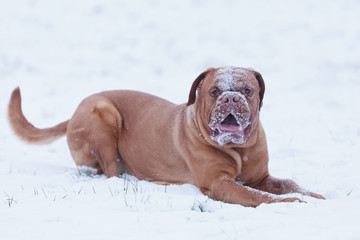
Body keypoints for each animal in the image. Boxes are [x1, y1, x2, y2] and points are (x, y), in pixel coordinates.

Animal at [7, 67, 324, 206]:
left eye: (246, 89)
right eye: (214, 91)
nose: (231, 98)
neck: (240, 151)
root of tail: (72, 115)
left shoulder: (260, 176)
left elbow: (285, 183)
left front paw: (314, 195)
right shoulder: (219, 183)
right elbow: (255, 195)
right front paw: (290, 203)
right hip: (104, 114)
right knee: (111, 172)